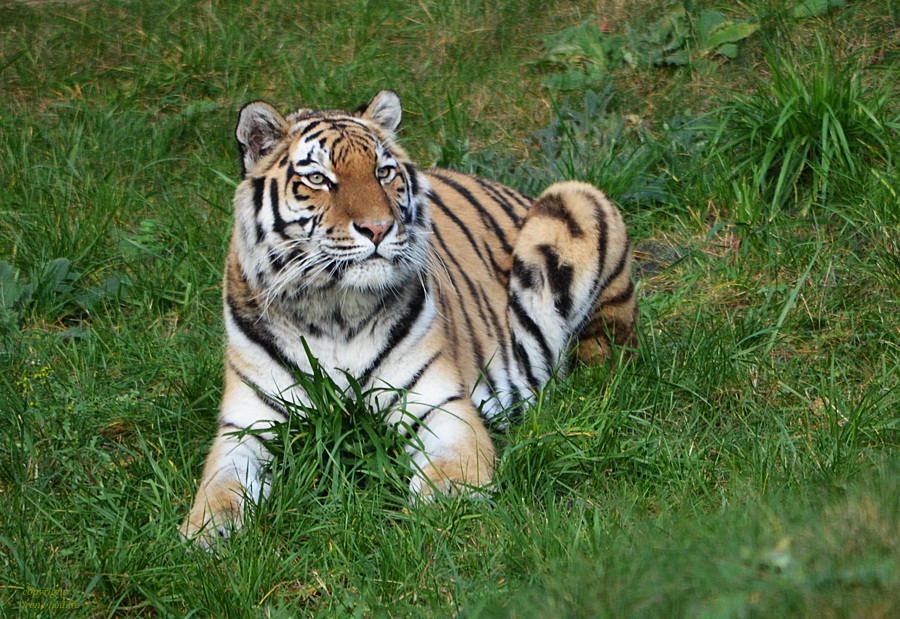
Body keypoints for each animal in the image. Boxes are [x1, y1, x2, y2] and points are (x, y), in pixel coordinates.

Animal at [179, 91, 636, 548]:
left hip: (574, 199)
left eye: (383, 173)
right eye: (319, 179)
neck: (332, 310)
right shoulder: (245, 427)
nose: (378, 228)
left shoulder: (440, 406)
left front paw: (435, 513)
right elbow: (220, 487)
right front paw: (203, 534)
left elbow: (448, 480)